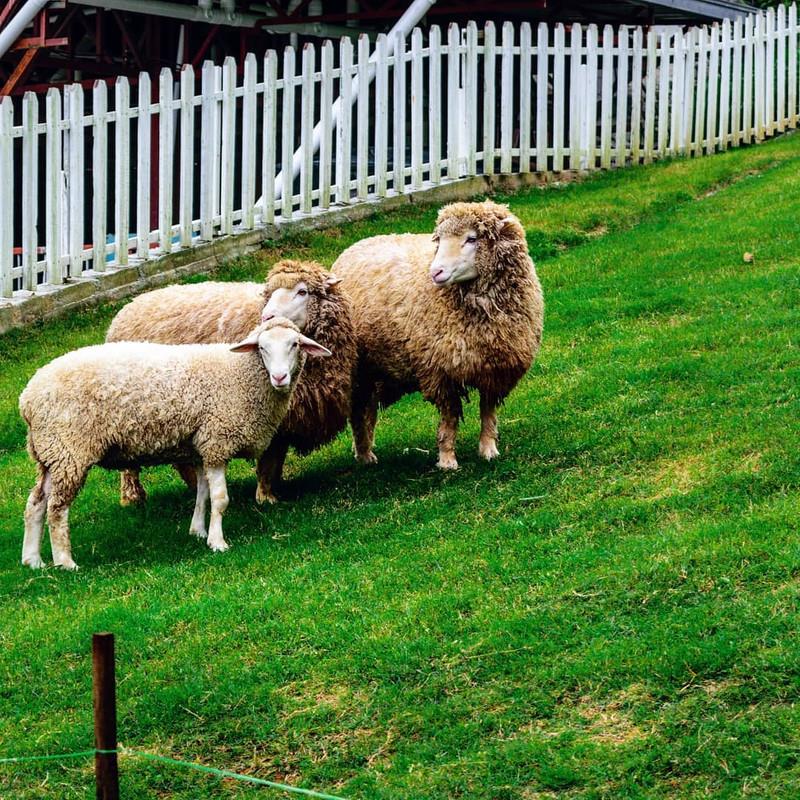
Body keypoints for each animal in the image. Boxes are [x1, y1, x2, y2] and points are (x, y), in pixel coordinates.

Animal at [19, 318, 332, 568]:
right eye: (262, 348)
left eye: (295, 344)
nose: (280, 377)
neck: (239, 373)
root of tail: (27, 400)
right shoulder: (216, 442)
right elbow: (221, 498)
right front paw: (218, 542)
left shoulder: (200, 446)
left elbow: (203, 494)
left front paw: (198, 532)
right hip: (70, 451)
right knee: (56, 509)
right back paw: (65, 562)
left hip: (50, 454)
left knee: (36, 502)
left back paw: (33, 560)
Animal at [106, 260, 356, 504]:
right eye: (269, 293)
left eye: (302, 291)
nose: (267, 318)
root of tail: (127, 308)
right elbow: (269, 457)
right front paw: (266, 496)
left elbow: (277, 456)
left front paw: (275, 485)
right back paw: (132, 497)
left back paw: (193, 486)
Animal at [332, 200, 544, 472]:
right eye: (439, 240)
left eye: (472, 238)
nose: (436, 272)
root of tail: (355, 245)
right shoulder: (440, 373)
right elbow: (450, 417)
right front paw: (447, 460)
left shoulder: (495, 370)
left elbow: (488, 411)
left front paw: (488, 449)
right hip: (360, 370)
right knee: (359, 412)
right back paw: (364, 454)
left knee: (366, 410)